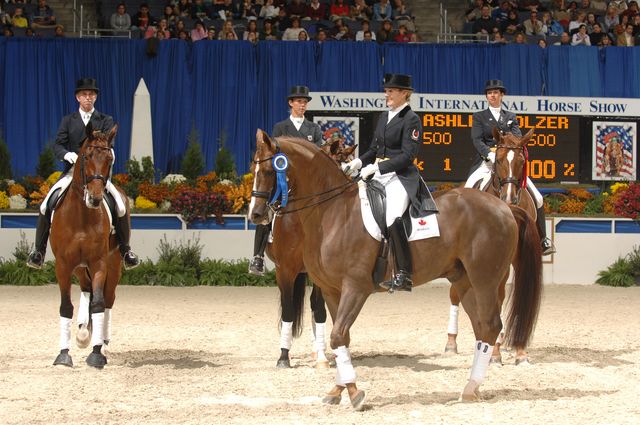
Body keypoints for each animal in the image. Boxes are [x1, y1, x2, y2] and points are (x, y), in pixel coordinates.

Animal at [49, 123, 125, 368]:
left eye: (109, 159)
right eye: (87, 156)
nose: (95, 198)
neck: (81, 215)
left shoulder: (99, 262)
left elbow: (99, 304)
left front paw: (97, 353)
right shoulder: (63, 266)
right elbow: (66, 306)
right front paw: (64, 355)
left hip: (114, 263)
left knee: (108, 298)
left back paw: (103, 339)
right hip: (80, 267)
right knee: (85, 288)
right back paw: (82, 332)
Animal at [444, 127, 540, 362]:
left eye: (522, 161)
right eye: (499, 159)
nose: (509, 198)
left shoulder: (517, 257)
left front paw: (519, 351)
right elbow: (496, 296)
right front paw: (494, 351)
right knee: (455, 294)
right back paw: (451, 341)